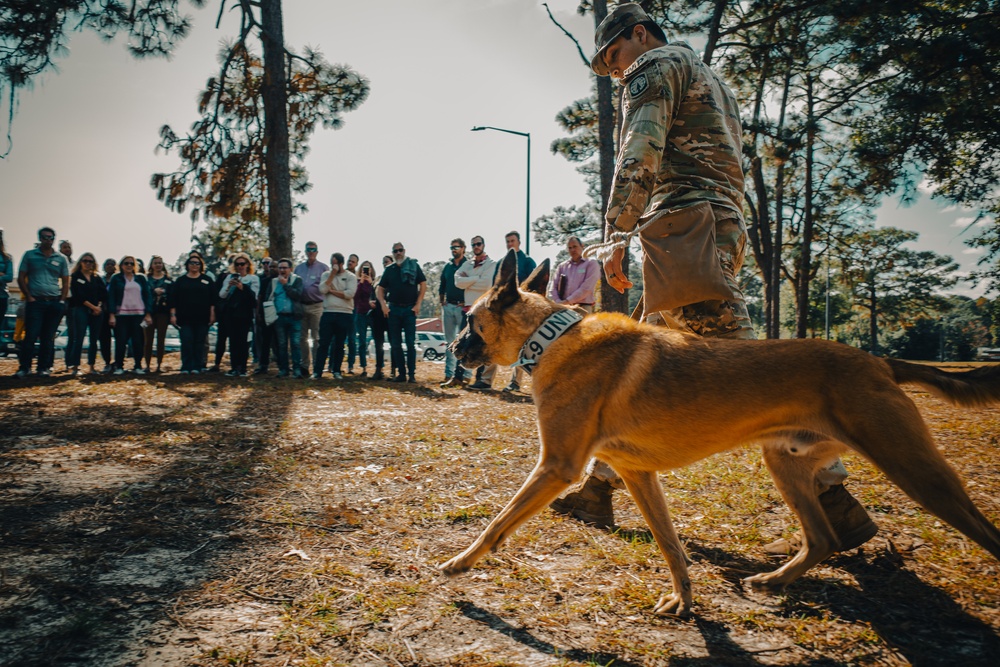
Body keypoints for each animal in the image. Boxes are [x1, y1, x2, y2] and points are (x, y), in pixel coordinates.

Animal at [442, 249, 1000, 616]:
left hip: (918, 471)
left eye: (469, 319)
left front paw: (459, 562)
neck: (554, 336)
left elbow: (497, 524)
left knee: (982, 530)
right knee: (821, 539)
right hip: (787, 464)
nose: (449, 348)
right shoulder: (639, 475)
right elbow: (670, 545)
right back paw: (775, 580)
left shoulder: (556, 467)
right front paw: (683, 599)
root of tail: (880, 362)